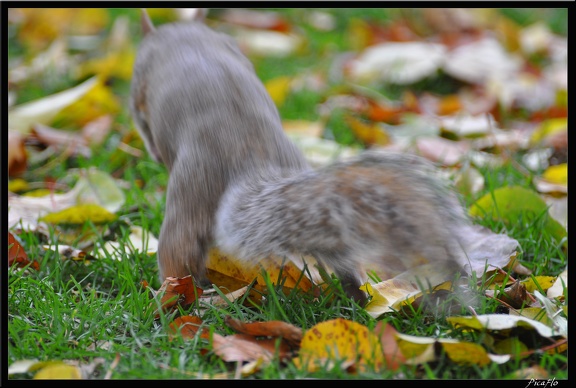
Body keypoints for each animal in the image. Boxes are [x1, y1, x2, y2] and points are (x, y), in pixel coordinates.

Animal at [130, 9, 468, 304]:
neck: (186, 35)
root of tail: (248, 163)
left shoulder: (140, 89)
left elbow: (144, 126)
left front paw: (155, 153)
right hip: (319, 215)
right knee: (341, 258)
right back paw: (359, 296)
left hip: (188, 198)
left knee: (177, 256)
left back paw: (168, 297)